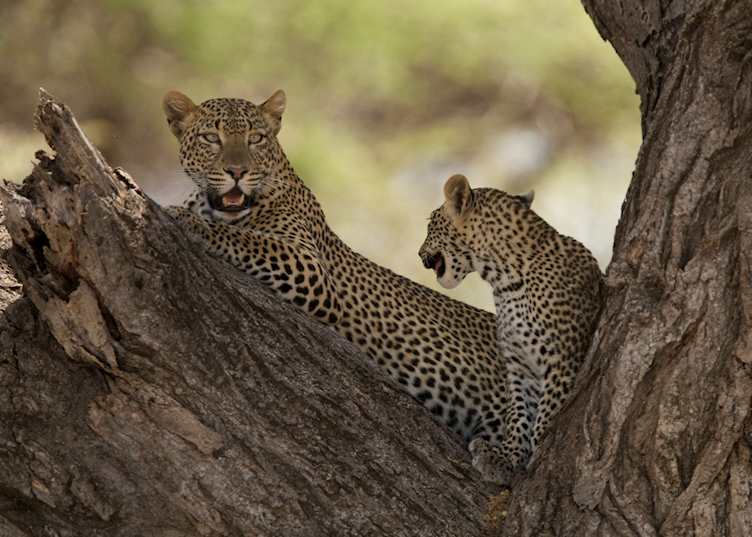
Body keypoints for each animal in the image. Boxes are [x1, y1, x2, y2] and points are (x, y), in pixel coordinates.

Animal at [161, 89, 511, 482]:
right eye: (211, 138)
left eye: (256, 139)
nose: (237, 172)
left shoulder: (309, 269)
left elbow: (245, 238)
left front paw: (190, 221)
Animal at [419, 173, 603, 483]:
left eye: (431, 224)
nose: (419, 253)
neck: (504, 279)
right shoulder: (519, 365)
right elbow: (518, 414)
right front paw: (505, 457)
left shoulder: (562, 359)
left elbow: (547, 413)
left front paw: (538, 454)